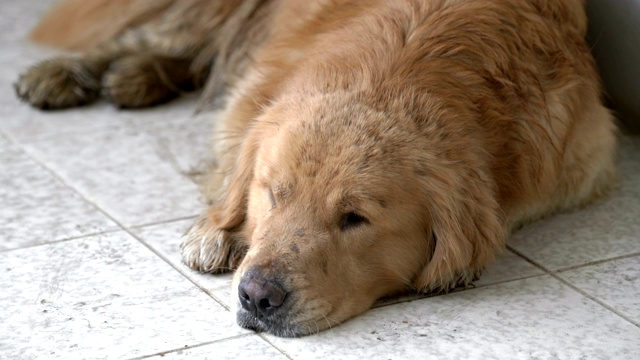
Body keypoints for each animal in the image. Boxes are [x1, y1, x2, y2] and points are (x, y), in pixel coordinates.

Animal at [15, 0, 616, 338]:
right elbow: (231, 160)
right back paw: (65, 73)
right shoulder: (252, 98)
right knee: (147, 37)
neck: (402, 72)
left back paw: (138, 76)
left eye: (354, 219)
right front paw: (216, 230)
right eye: (273, 194)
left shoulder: (579, 162)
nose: (256, 298)